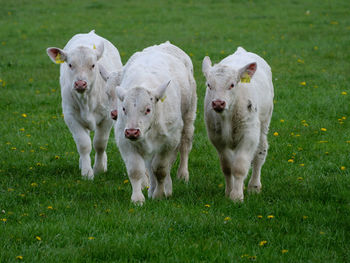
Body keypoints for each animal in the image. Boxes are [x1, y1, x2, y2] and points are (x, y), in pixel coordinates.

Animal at [46, 29, 123, 180]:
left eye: (93, 65)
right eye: (70, 64)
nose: (80, 83)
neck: (86, 99)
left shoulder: (107, 117)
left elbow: (100, 143)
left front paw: (99, 168)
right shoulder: (70, 116)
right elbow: (83, 144)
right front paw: (87, 172)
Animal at [108, 42, 197, 205]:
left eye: (148, 109)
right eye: (124, 108)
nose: (132, 132)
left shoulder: (169, 141)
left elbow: (160, 169)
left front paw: (160, 194)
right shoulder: (125, 141)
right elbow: (136, 170)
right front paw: (138, 198)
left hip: (188, 118)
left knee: (184, 147)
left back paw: (180, 176)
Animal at [202, 47, 274, 203]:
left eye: (232, 85)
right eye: (209, 85)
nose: (218, 103)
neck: (227, 117)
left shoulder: (249, 135)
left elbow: (240, 166)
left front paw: (236, 196)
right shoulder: (217, 138)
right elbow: (227, 167)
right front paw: (229, 192)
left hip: (264, 124)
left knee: (260, 153)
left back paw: (254, 186)